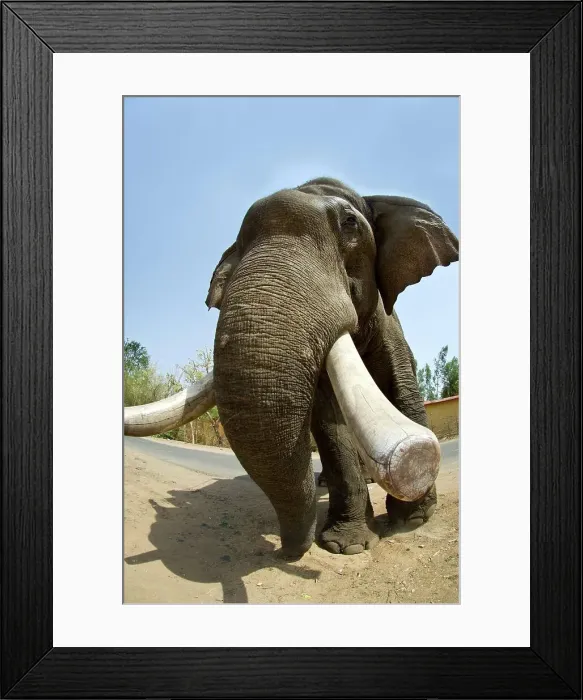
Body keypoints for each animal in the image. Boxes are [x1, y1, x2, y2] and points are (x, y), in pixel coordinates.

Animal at [125, 177, 458, 558]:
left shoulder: (387, 320)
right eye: (239, 244)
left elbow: (397, 380)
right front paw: (345, 546)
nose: (286, 551)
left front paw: (414, 518)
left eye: (350, 224)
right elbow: (328, 417)